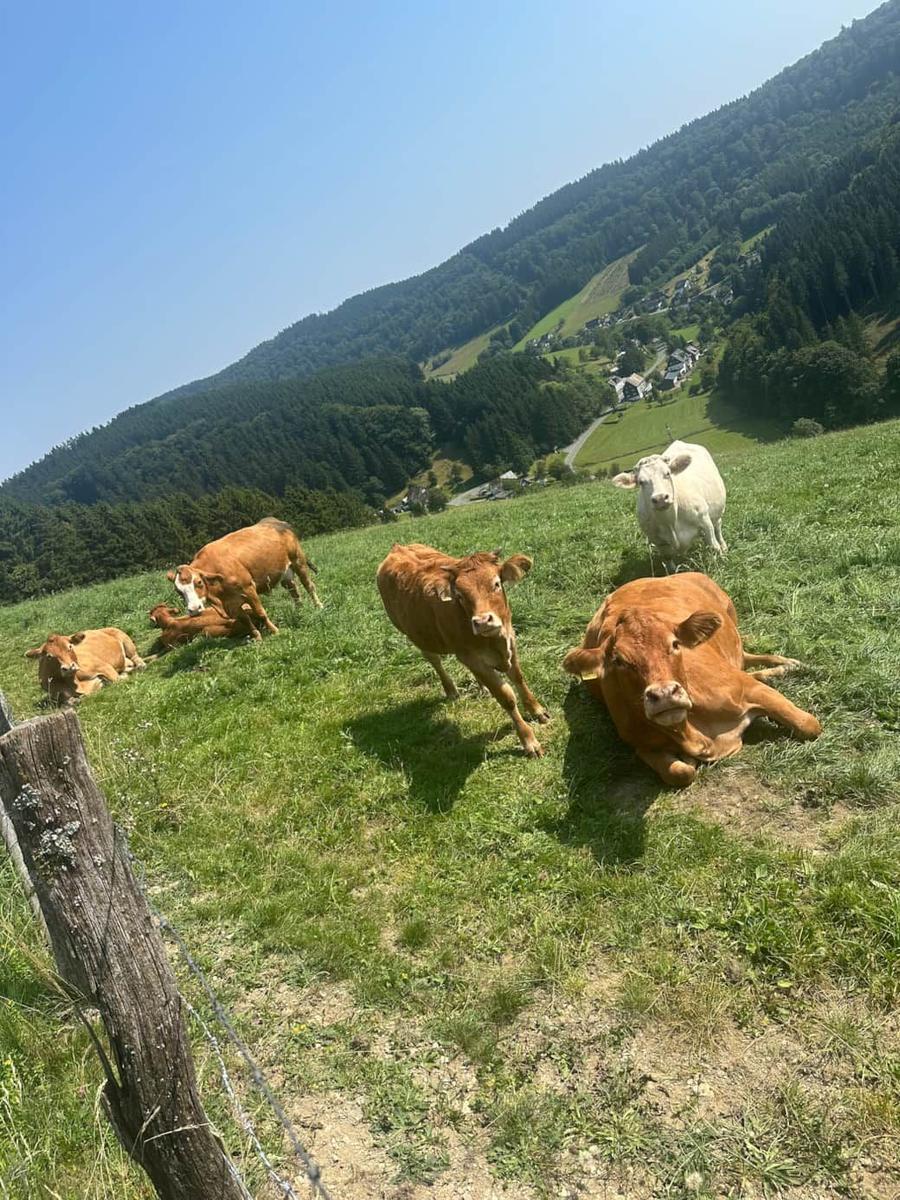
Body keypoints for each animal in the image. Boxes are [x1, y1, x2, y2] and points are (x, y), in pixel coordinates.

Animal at [168, 517, 321, 634]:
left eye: (199, 582)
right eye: (178, 591)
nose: (194, 609)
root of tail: (276, 521)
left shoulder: (249, 589)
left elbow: (260, 613)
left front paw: (275, 631)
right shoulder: (231, 604)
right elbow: (245, 620)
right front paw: (257, 637)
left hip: (298, 561)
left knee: (309, 586)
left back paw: (319, 606)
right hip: (284, 572)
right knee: (294, 591)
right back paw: (299, 610)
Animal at [376, 543, 549, 757]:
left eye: (496, 584)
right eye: (459, 596)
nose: (482, 621)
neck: (495, 641)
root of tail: (398, 547)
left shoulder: (510, 640)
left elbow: (518, 678)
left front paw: (537, 710)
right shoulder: (471, 656)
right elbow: (506, 697)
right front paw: (529, 740)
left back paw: (482, 688)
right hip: (417, 636)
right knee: (434, 660)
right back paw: (451, 690)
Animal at [562, 572, 821, 787]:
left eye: (675, 644)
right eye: (618, 660)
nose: (664, 695)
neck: (693, 730)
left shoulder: (751, 690)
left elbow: (809, 725)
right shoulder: (641, 745)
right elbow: (680, 773)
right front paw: (688, 762)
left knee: (746, 657)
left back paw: (788, 665)